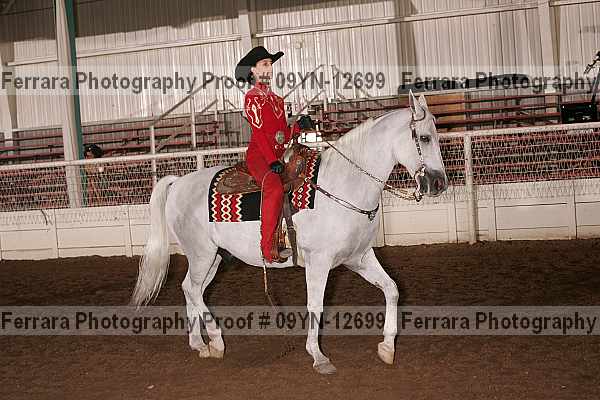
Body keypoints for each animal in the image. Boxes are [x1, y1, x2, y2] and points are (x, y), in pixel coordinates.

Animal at [130, 91, 448, 374]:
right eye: (424, 138)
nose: (439, 183)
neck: (343, 184)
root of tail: (178, 183)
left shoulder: (359, 257)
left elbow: (392, 290)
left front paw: (387, 347)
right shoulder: (319, 262)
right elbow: (316, 306)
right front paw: (318, 356)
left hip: (214, 258)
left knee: (189, 288)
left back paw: (200, 344)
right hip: (201, 254)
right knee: (193, 289)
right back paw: (217, 342)